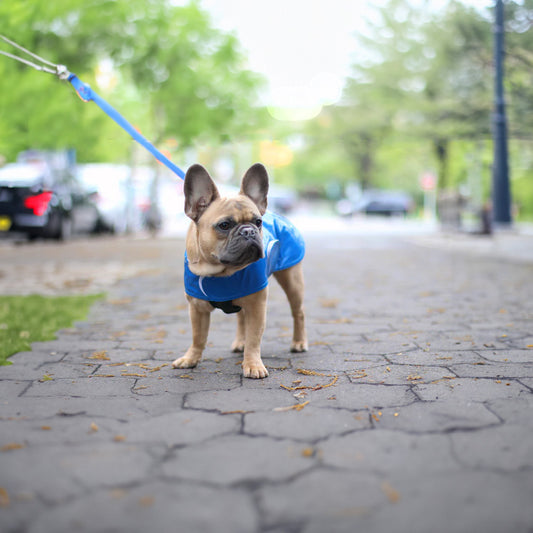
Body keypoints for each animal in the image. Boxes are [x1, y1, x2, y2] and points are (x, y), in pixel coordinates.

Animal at [172, 164, 306, 376]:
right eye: (224, 225)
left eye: (258, 222)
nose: (249, 231)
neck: (220, 272)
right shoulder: (197, 308)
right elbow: (198, 336)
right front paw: (190, 358)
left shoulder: (257, 305)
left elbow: (254, 338)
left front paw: (253, 365)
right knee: (241, 318)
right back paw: (239, 343)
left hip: (292, 280)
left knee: (298, 312)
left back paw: (299, 343)